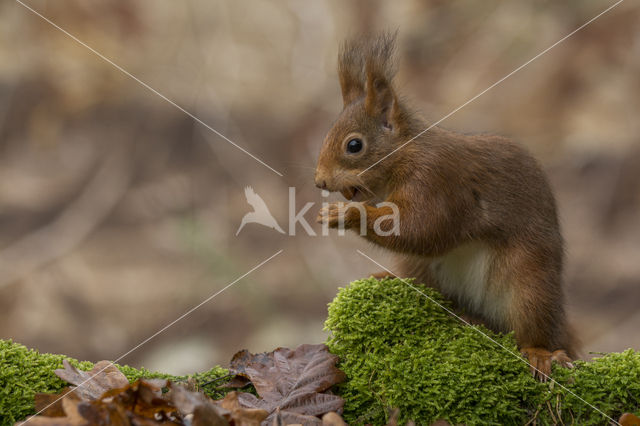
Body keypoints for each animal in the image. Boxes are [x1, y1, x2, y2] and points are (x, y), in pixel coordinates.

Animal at [316, 33, 580, 380]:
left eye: (354, 145)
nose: (319, 181)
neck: (406, 154)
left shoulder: (437, 181)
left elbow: (422, 229)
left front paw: (346, 214)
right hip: (424, 270)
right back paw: (390, 278)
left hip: (530, 283)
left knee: (536, 325)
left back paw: (541, 353)